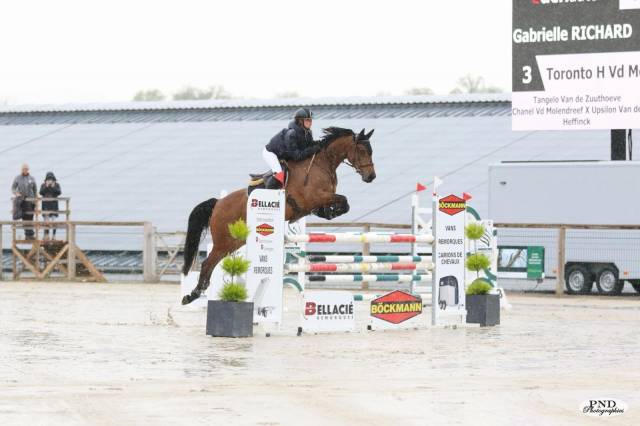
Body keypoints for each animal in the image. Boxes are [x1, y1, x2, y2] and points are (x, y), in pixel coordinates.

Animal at [181, 127, 376, 305]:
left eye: (370, 151)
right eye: (361, 150)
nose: (371, 177)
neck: (322, 164)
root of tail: (218, 203)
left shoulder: (321, 199)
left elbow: (343, 203)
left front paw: (328, 212)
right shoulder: (314, 197)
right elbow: (343, 200)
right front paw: (332, 211)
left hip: (235, 241)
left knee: (212, 263)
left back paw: (197, 293)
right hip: (224, 241)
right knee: (207, 263)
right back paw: (192, 295)